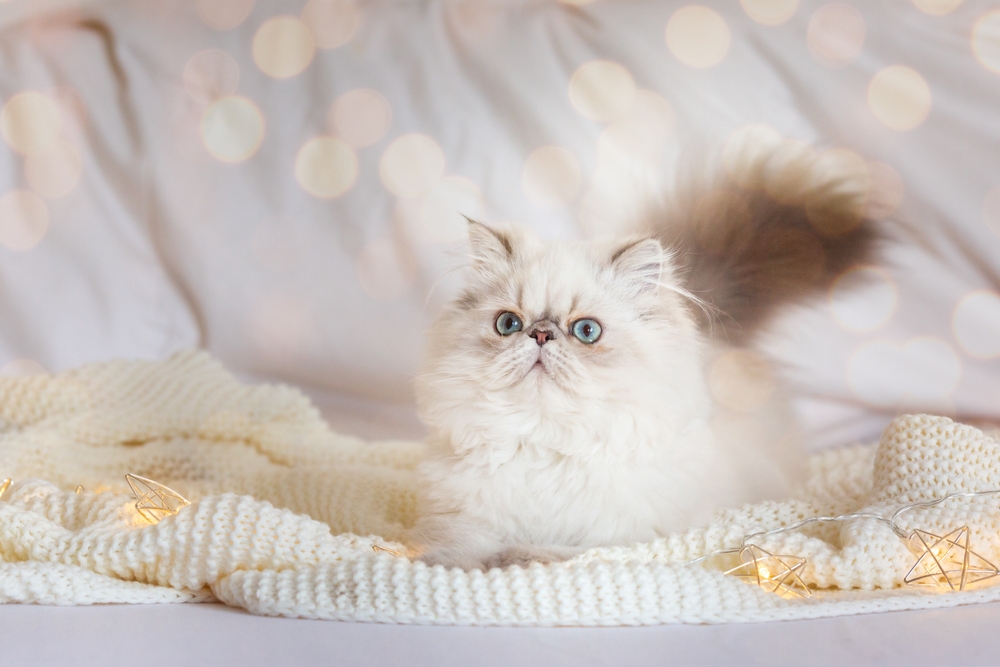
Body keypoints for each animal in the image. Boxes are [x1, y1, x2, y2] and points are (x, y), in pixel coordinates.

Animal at [410, 140, 880, 568]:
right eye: (509, 324)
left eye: (586, 331)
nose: (541, 335)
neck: (549, 440)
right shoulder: (463, 521)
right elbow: (467, 550)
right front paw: (460, 563)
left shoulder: (627, 537)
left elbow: (558, 552)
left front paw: (521, 557)